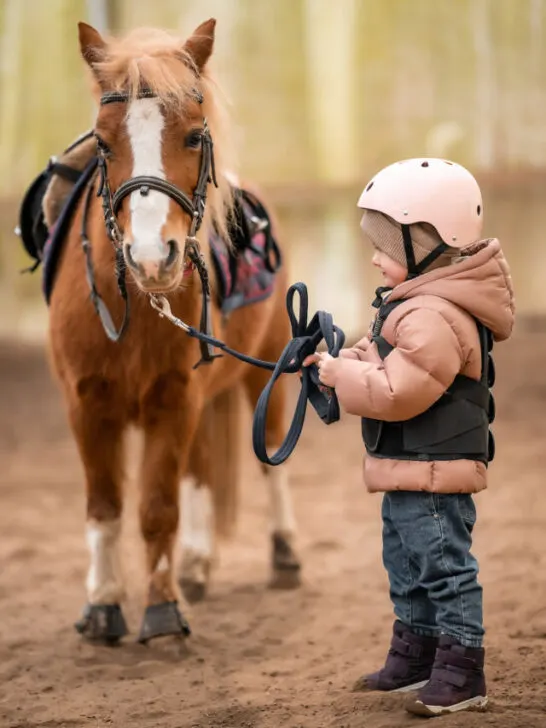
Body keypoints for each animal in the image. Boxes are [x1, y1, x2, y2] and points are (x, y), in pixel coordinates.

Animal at [43, 18, 302, 645]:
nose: (151, 256)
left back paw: (284, 553)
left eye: (192, 136)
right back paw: (198, 563)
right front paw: (103, 606)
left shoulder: (175, 399)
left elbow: (158, 506)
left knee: (270, 461)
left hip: (265, 374)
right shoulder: (87, 405)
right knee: (203, 470)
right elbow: (105, 507)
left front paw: (161, 609)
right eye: (103, 142)